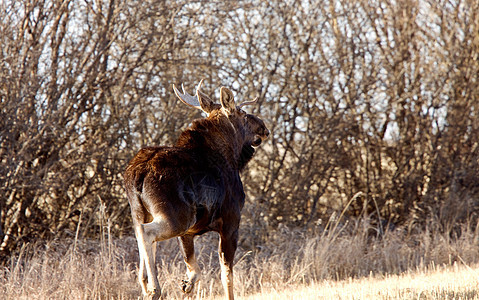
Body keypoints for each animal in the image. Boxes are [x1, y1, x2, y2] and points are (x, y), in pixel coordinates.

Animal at [124, 81, 270, 298]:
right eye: (243, 113)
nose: (264, 128)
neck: (232, 156)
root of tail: (137, 175)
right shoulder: (231, 221)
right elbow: (226, 275)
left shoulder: (189, 232)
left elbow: (194, 268)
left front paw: (187, 285)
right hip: (176, 216)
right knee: (147, 233)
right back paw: (154, 288)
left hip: (140, 212)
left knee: (140, 234)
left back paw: (144, 284)